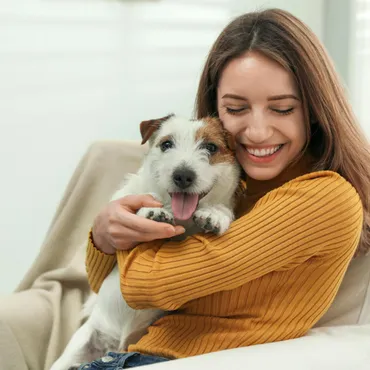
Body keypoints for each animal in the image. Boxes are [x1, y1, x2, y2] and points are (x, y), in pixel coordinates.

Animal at [50, 114, 241, 368]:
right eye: (166, 144)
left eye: (211, 147)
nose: (182, 175)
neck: (182, 218)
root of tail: (114, 345)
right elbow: (141, 197)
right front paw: (153, 211)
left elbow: (222, 209)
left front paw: (215, 214)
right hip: (80, 344)